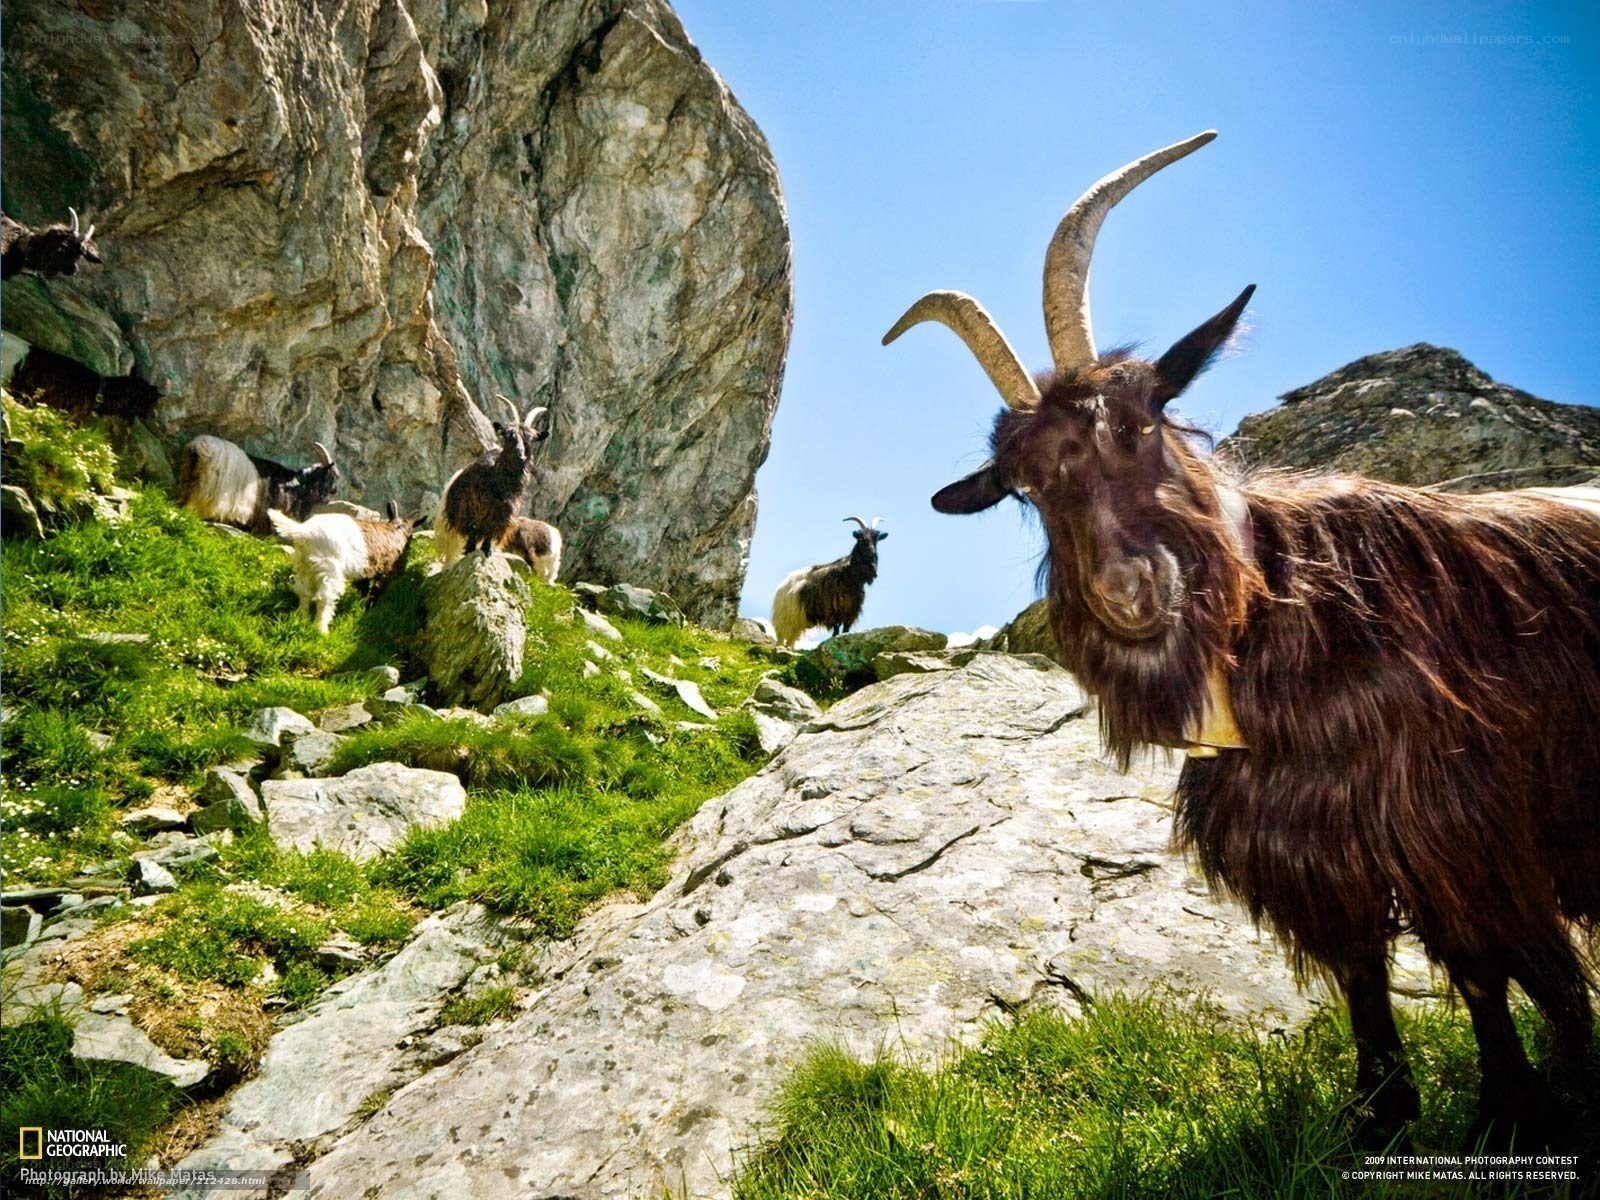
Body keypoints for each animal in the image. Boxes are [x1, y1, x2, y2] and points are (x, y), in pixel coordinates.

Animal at [176, 435, 340, 536]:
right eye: (330, 478)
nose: (330, 497)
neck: (297, 484)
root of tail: (198, 447)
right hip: (207, 488)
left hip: (188, 479)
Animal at [268, 502, 416, 634]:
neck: (396, 529)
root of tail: (304, 532)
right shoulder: (383, 571)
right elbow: (374, 591)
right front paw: (368, 609)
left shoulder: (364, 572)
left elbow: (363, 590)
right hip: (329, 570)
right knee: (324, 598)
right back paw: (322, 630)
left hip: (304, 566)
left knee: (304, 592)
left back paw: (303, 619)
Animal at [434, 394, 550, 564]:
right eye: (507, 435)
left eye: (530, 438)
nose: (520, 454)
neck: (499, 483)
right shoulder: (474, 509)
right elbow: (474, 532)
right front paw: (471, 551)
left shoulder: (502, 515)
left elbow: (490, 532)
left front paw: (487, 550)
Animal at [771, 517, 888, 647]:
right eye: (861, 538)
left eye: (876, 539)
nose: (871, 553)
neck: (848, 575)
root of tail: (782, 585)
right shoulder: (833, 609)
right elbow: (836, 629)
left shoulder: (850, 610)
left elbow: (845, 629)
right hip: (785, 619)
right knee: (781, 639)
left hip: (796, 621)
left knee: (791, 640)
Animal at [886, 130, 1600, 1139]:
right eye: (1024, 486)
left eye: (1142, 421)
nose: (1129, 592)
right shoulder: (1317, 850)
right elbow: (1362, 973)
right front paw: (1381, 1114)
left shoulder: (1461, 831)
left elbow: (1485, 974)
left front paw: (1510, 1115)